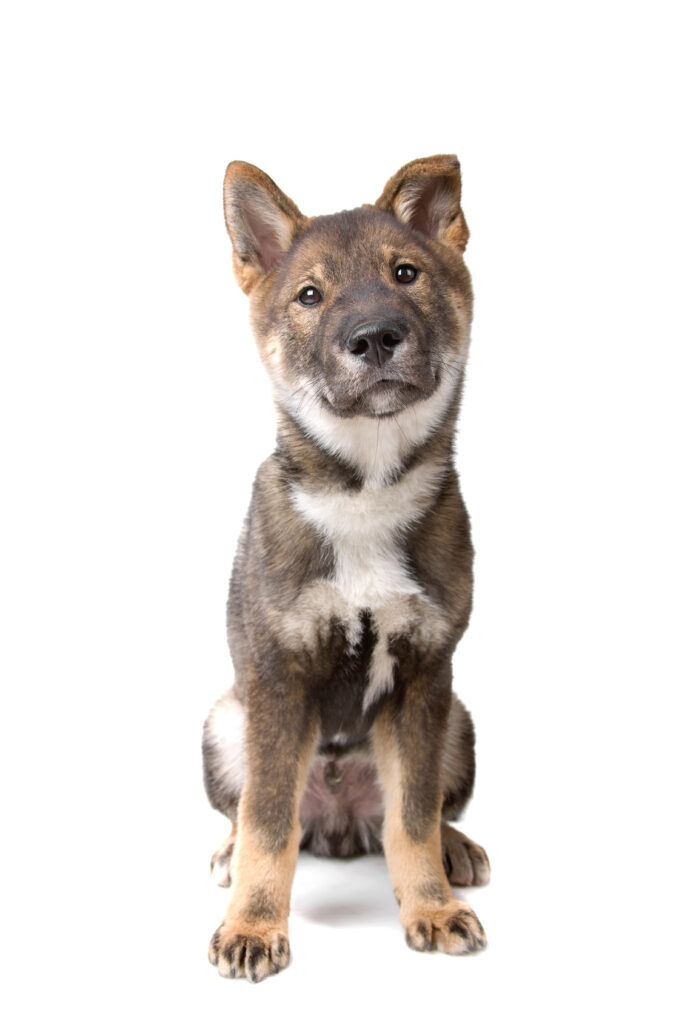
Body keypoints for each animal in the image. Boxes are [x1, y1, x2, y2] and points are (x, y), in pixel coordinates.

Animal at [201, 155, 489, 978]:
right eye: (309, 294)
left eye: (406, 273)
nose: (375, 337)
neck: (365, 491)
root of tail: (336, 816)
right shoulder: (276, 681)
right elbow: (268, 823)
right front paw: (254, 926)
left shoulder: (425, 678)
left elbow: (413, 817)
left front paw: (430, 907)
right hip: (226, 720)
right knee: (253, 814)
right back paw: (229, 854)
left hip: (458, 722)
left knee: (417, 813)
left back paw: (456, 851)